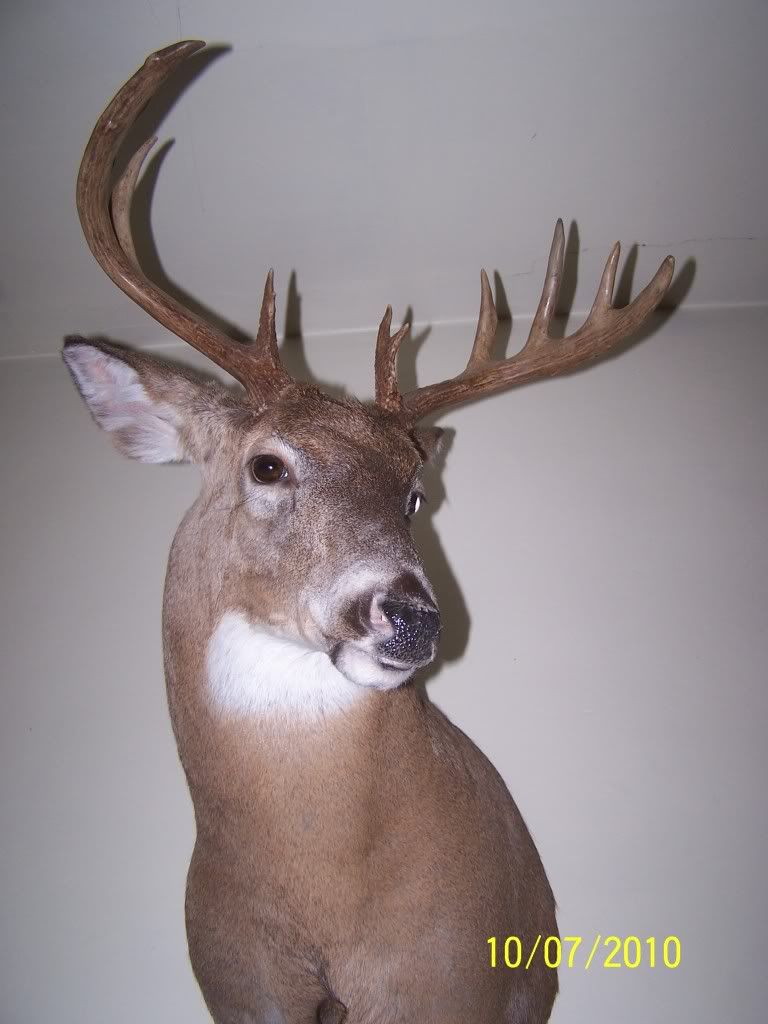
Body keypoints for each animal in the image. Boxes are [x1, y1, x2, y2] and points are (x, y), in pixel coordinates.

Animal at [62, 40, 674, 1024]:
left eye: (415, 494)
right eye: (267, 466)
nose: (412, 617)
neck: (318, 900)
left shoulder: (450, 976)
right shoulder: (239, 989)